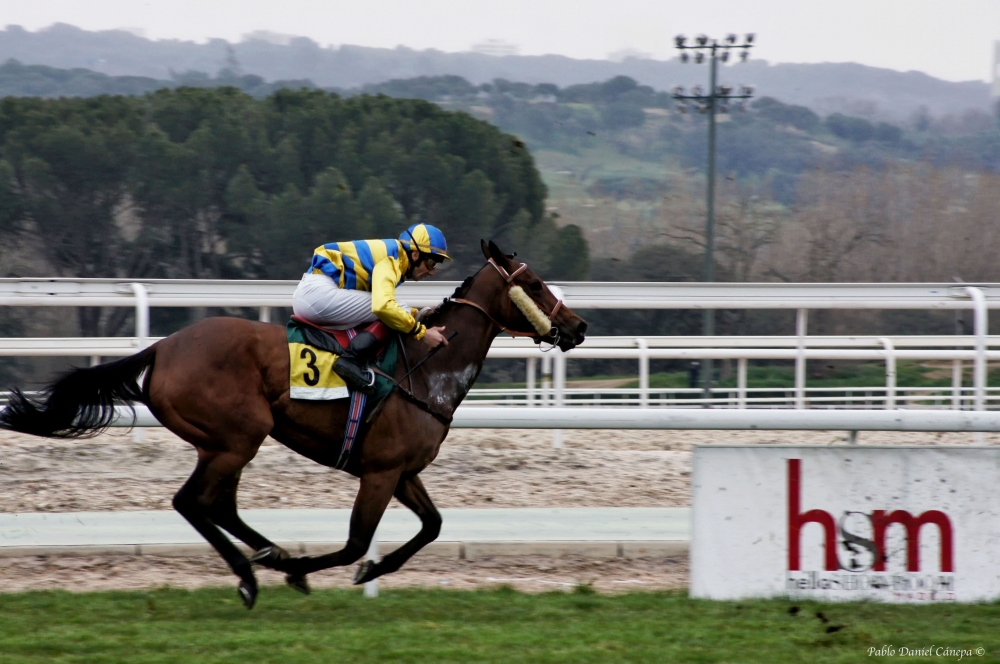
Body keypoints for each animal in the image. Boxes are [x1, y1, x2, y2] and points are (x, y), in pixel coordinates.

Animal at [0, 240, 584, 608]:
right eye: (534, 283)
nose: (578, 326)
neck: (428, 368)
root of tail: (163, 348)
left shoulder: (402, 471)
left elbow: (432, 526)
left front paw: (365, 571)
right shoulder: (379, 472)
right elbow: (355, 542)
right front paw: (313, 570)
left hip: (221, 443)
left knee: (215, 505)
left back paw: (267, 554)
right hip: (240, 435)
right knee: (193, 501)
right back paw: (253, 574)